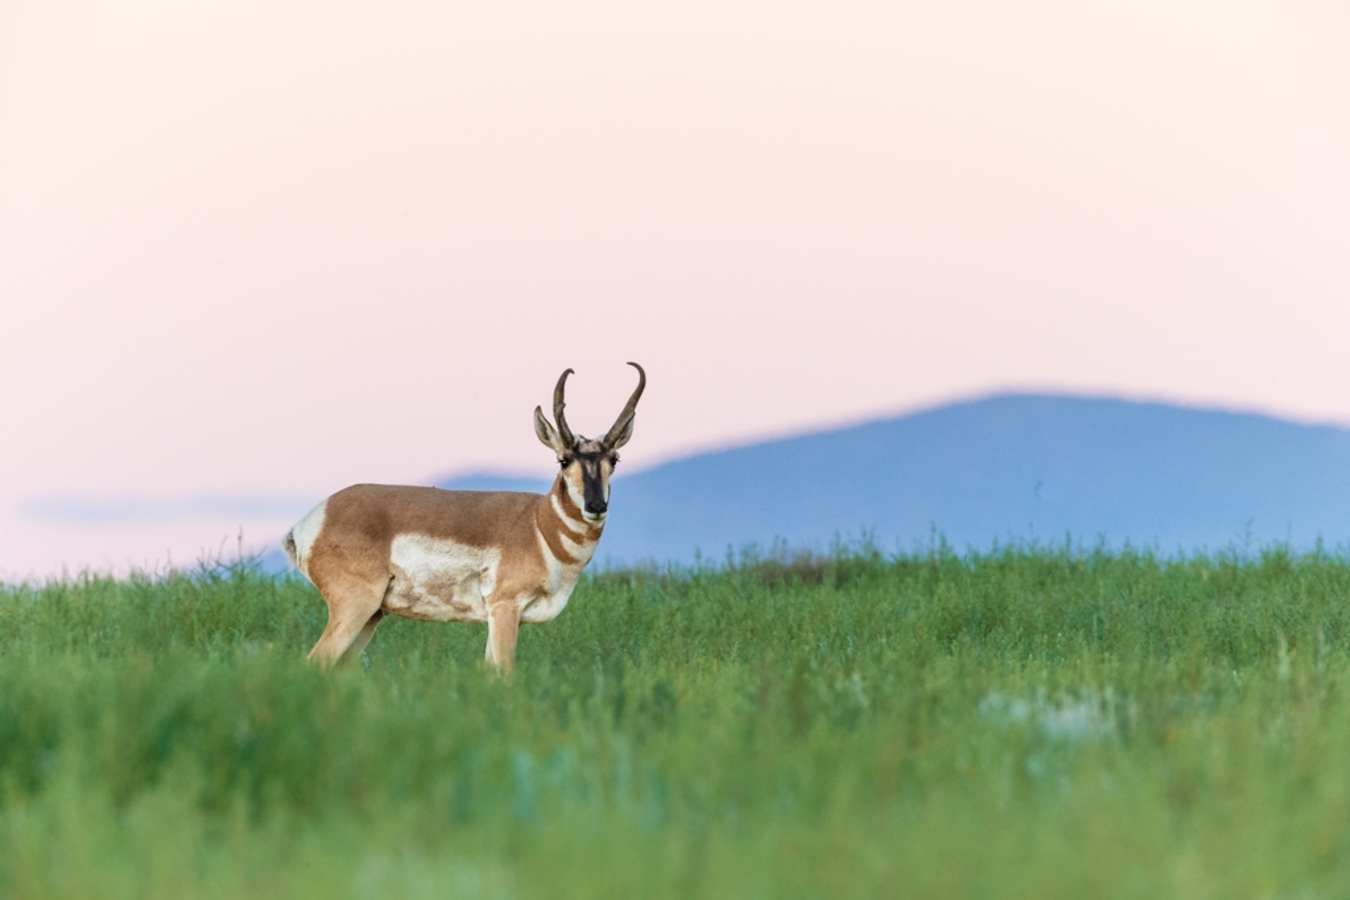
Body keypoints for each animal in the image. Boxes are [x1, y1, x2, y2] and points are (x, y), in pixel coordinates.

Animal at [282, 362, 646, 672]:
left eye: (614, 459)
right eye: (564, 459)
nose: (596, 505)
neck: (538, 524)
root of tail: (315, 517)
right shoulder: (504, 609)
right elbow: (504, 673)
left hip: (372, 615)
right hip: (356, 607)